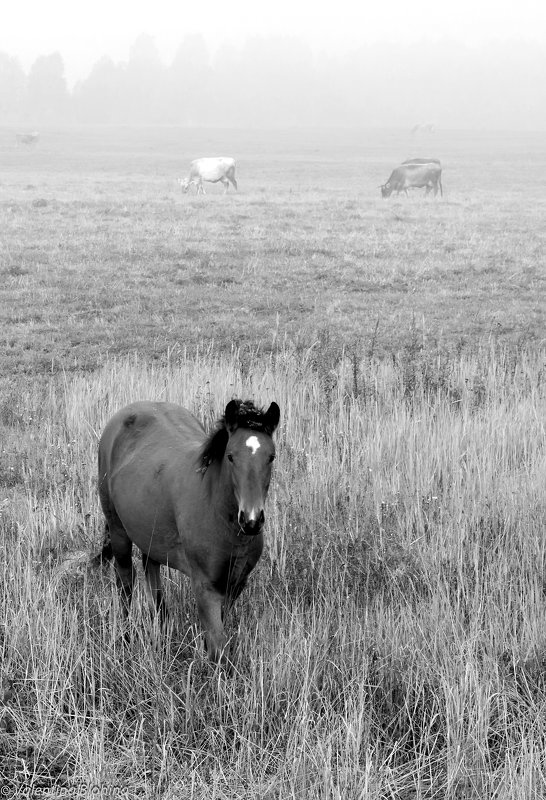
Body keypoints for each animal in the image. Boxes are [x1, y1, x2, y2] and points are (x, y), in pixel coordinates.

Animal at [95, 396, 278, 664]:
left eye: (271, 457)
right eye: (231, 456)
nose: (251, 520)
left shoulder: (236, 583)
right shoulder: (205, 586)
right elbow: (219, 650)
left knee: (151, 571)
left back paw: (162, 627)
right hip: (118, 531)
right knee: (125, 580)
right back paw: (126, 637)